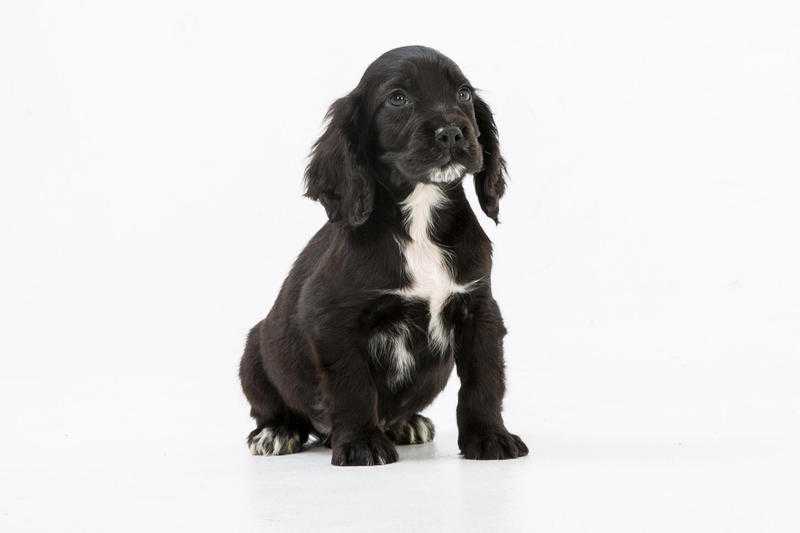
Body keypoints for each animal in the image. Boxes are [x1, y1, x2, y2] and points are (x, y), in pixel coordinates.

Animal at [239, 43, 524, 464]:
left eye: (463, 94)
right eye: (398, 98)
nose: (453, 132)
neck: (419, 219)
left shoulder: (479, 309)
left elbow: (484, 380)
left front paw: (489, 437)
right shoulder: (333, 320)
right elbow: (352, 384)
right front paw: (361, 443)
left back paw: (406, 423)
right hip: (254, 351)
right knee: (276, 409)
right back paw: (277, 432)